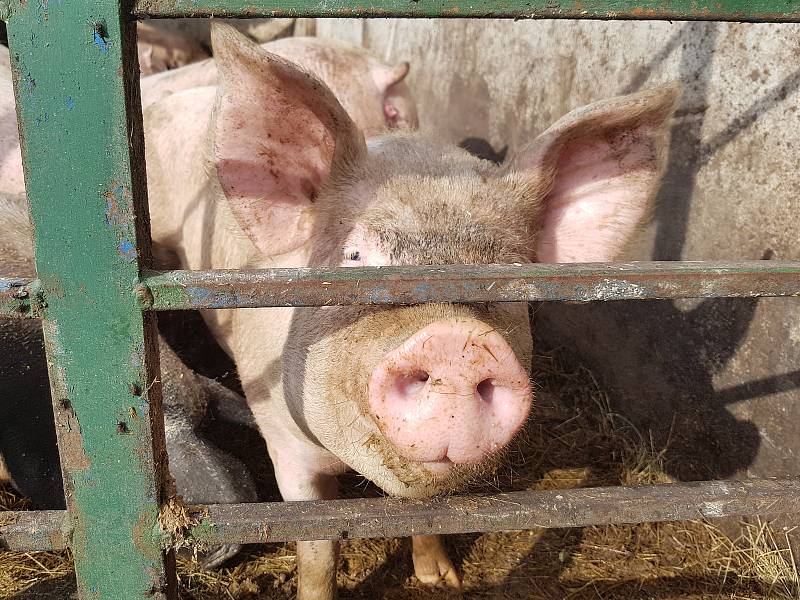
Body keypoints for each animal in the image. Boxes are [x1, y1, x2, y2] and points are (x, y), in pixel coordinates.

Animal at [142, 22, 676, 596]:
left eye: (512, 274)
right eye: (354, 257)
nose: (455, 342)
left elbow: (426, 517)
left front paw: (442, 580)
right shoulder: (282, 441)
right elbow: (317, 550)